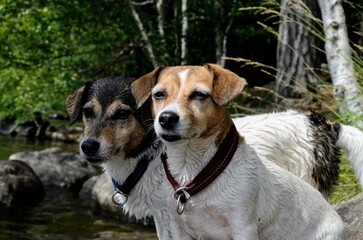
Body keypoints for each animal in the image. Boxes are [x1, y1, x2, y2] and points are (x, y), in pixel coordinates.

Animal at [132, 64, 346, 239]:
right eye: (159, 94)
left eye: (199, 94)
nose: (166, 118)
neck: (193, 171)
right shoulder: (178, 229)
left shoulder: (243, 228)